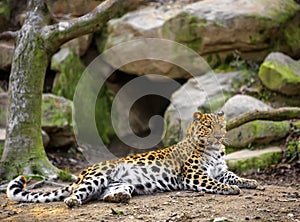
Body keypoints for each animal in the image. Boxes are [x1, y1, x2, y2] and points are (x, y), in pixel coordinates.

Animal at [5, 111, 256, 208]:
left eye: (221, 126)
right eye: (208, 126)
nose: (219, 135)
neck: (214, 149)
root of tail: (81, 174)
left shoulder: (221, 169)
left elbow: (233, 175)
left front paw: (249, 182)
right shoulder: (194, 174)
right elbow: (214, 182)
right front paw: (230, 189)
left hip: (120, 183)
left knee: (103, 195)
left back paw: (119, 198)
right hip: (96, 177)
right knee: (76, 194)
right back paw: (73, 201)